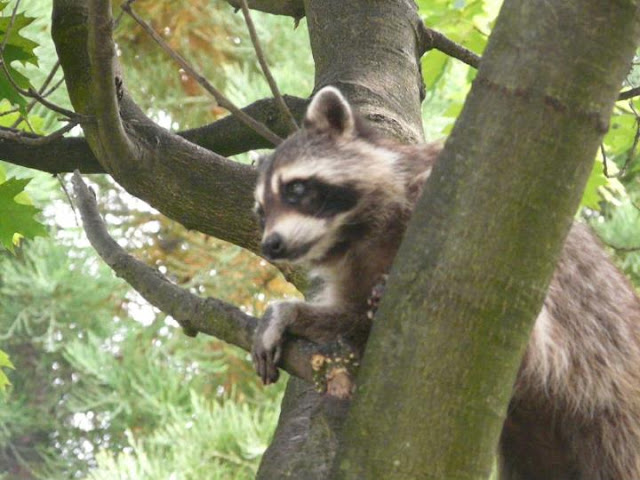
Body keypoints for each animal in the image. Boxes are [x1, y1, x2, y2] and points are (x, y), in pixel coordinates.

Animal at [252, 86, 640, 480]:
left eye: (296, 189)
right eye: (261, 211)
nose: (271, 245)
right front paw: (289, 313)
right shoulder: (355, 269)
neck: (355, 233)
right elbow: (353, 319)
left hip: (614, 398)